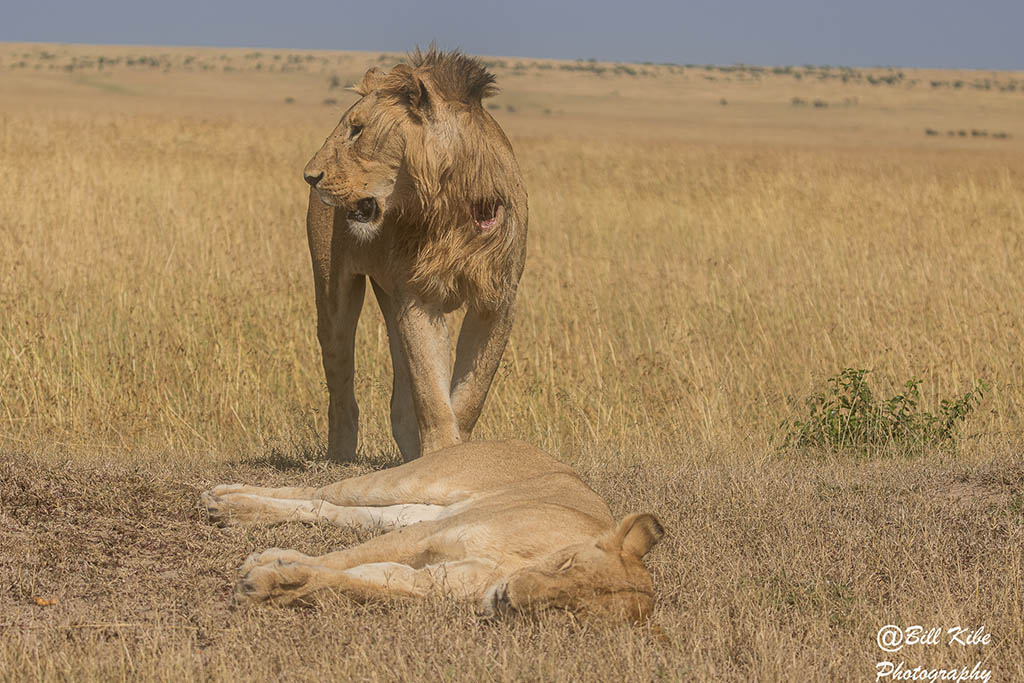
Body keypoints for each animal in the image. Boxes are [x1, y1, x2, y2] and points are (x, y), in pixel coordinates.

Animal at [201, 440, 663, 622]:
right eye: (566, 564)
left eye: (569, 611)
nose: (508, 599)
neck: (514, 566)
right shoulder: (428, 537)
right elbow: (345, 558)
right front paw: (267, 567)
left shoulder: (430, 576)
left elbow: (354, 581)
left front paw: (271, 586)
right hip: (409, 482)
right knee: (318, 489)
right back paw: (224, 500)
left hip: (407, 511)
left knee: (330, 509)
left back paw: (235, 513)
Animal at [301, 49, 528, 464]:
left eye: (357, 130)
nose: (310, 176)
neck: (449, 205)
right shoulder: (418, 296)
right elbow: (431, 391)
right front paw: (442, 453)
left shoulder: (498, 300)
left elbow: (470, 393)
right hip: (333, 294)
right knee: (340, 384)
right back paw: (340, 455)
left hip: (391, 298)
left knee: (400, 398)